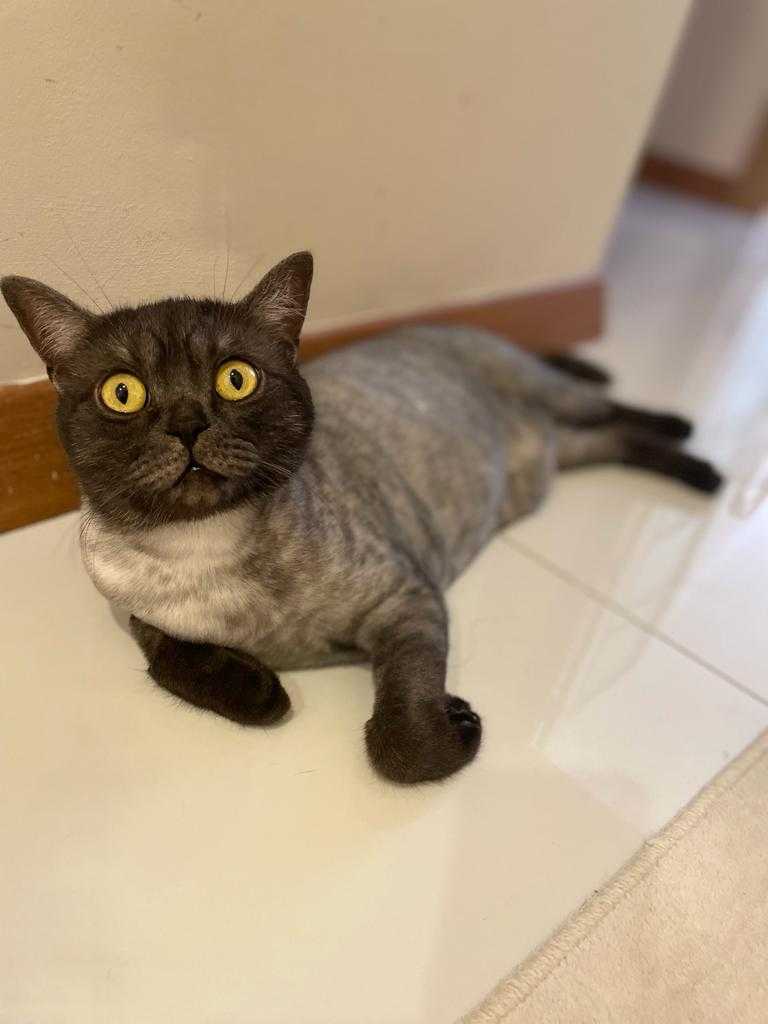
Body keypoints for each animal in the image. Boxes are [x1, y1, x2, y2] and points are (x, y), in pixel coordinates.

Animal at [1, 253, 722, 783]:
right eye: (122, 393)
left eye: (237, 379)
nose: (186, 424)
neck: (207, 552)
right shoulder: (131, 611)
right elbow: (172, 656)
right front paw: (258, 690)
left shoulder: (403, 600)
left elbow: (403, 739)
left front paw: (455, 723)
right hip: (561, 452)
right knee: (614, 441)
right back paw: (694, 467)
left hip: (556, 399)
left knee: (616, 409)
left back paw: (697, 451)